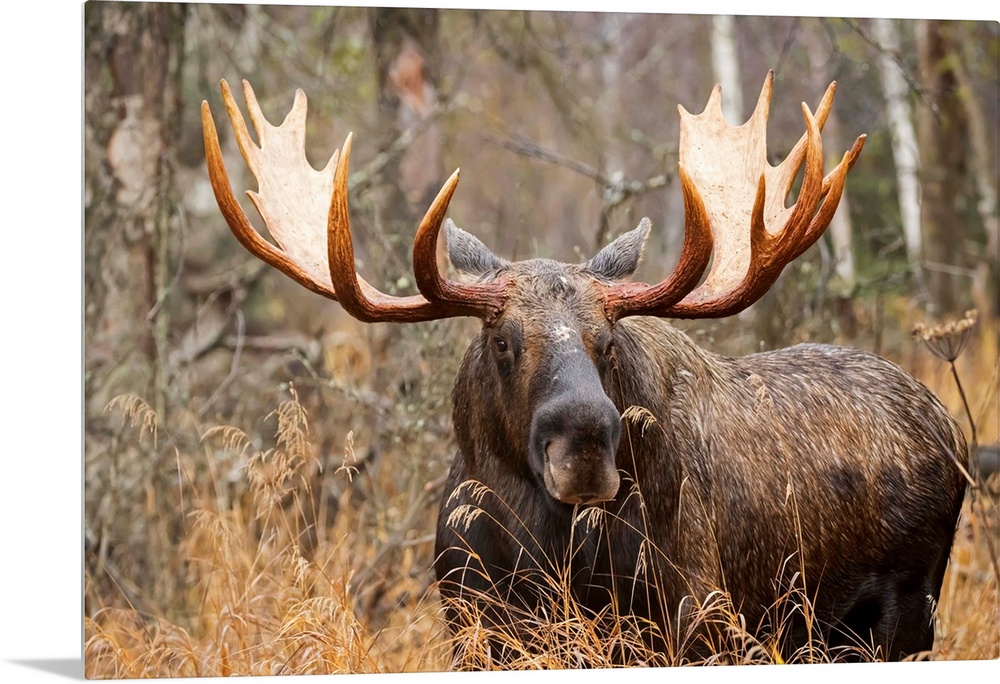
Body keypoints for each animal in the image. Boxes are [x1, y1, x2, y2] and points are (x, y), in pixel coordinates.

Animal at [201, 72, 967, 665]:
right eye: (502, 341)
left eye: (608, 343)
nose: (586, 444)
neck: (539, 552)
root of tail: (950, 429)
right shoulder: (476, 631)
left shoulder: (698, 623)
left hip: (906, 613)